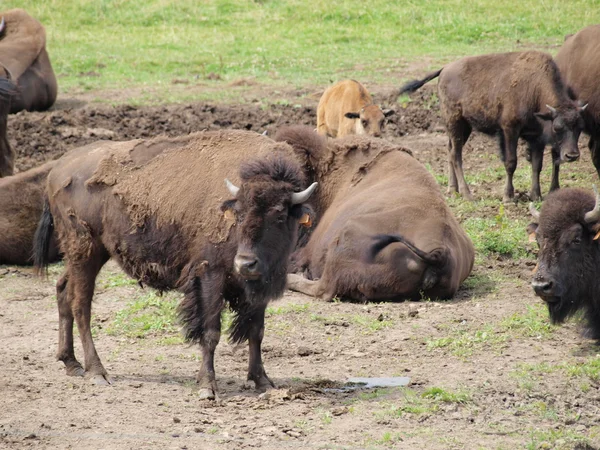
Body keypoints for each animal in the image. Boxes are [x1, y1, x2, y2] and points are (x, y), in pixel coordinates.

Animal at [34, 131, 318, 400]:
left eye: (279, 214)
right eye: (237, 214)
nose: (245, 263)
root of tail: (58, 169)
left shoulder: (260, 287)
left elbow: (256, 332)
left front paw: (263, 382)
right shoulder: (210, 275)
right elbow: (211, 332)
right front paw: (207, 387)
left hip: (86, 255)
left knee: (62, 291)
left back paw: (71, 363)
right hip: (85, 251)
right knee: (81, 305)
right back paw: (97, 372)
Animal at [398, 50, 584, 202]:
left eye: (579, 128)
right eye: (557, 127)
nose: (572, 155)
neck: (535, 88)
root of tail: (444, 69)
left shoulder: (535, 137)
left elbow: (537, 165)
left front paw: (536, 196)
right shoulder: (510, 130)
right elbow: (511, 162)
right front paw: (508, 197)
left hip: (463, 127)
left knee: (450, 151)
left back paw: (453, 190)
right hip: (455, 123)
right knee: (456, 155)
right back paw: (467, 194)